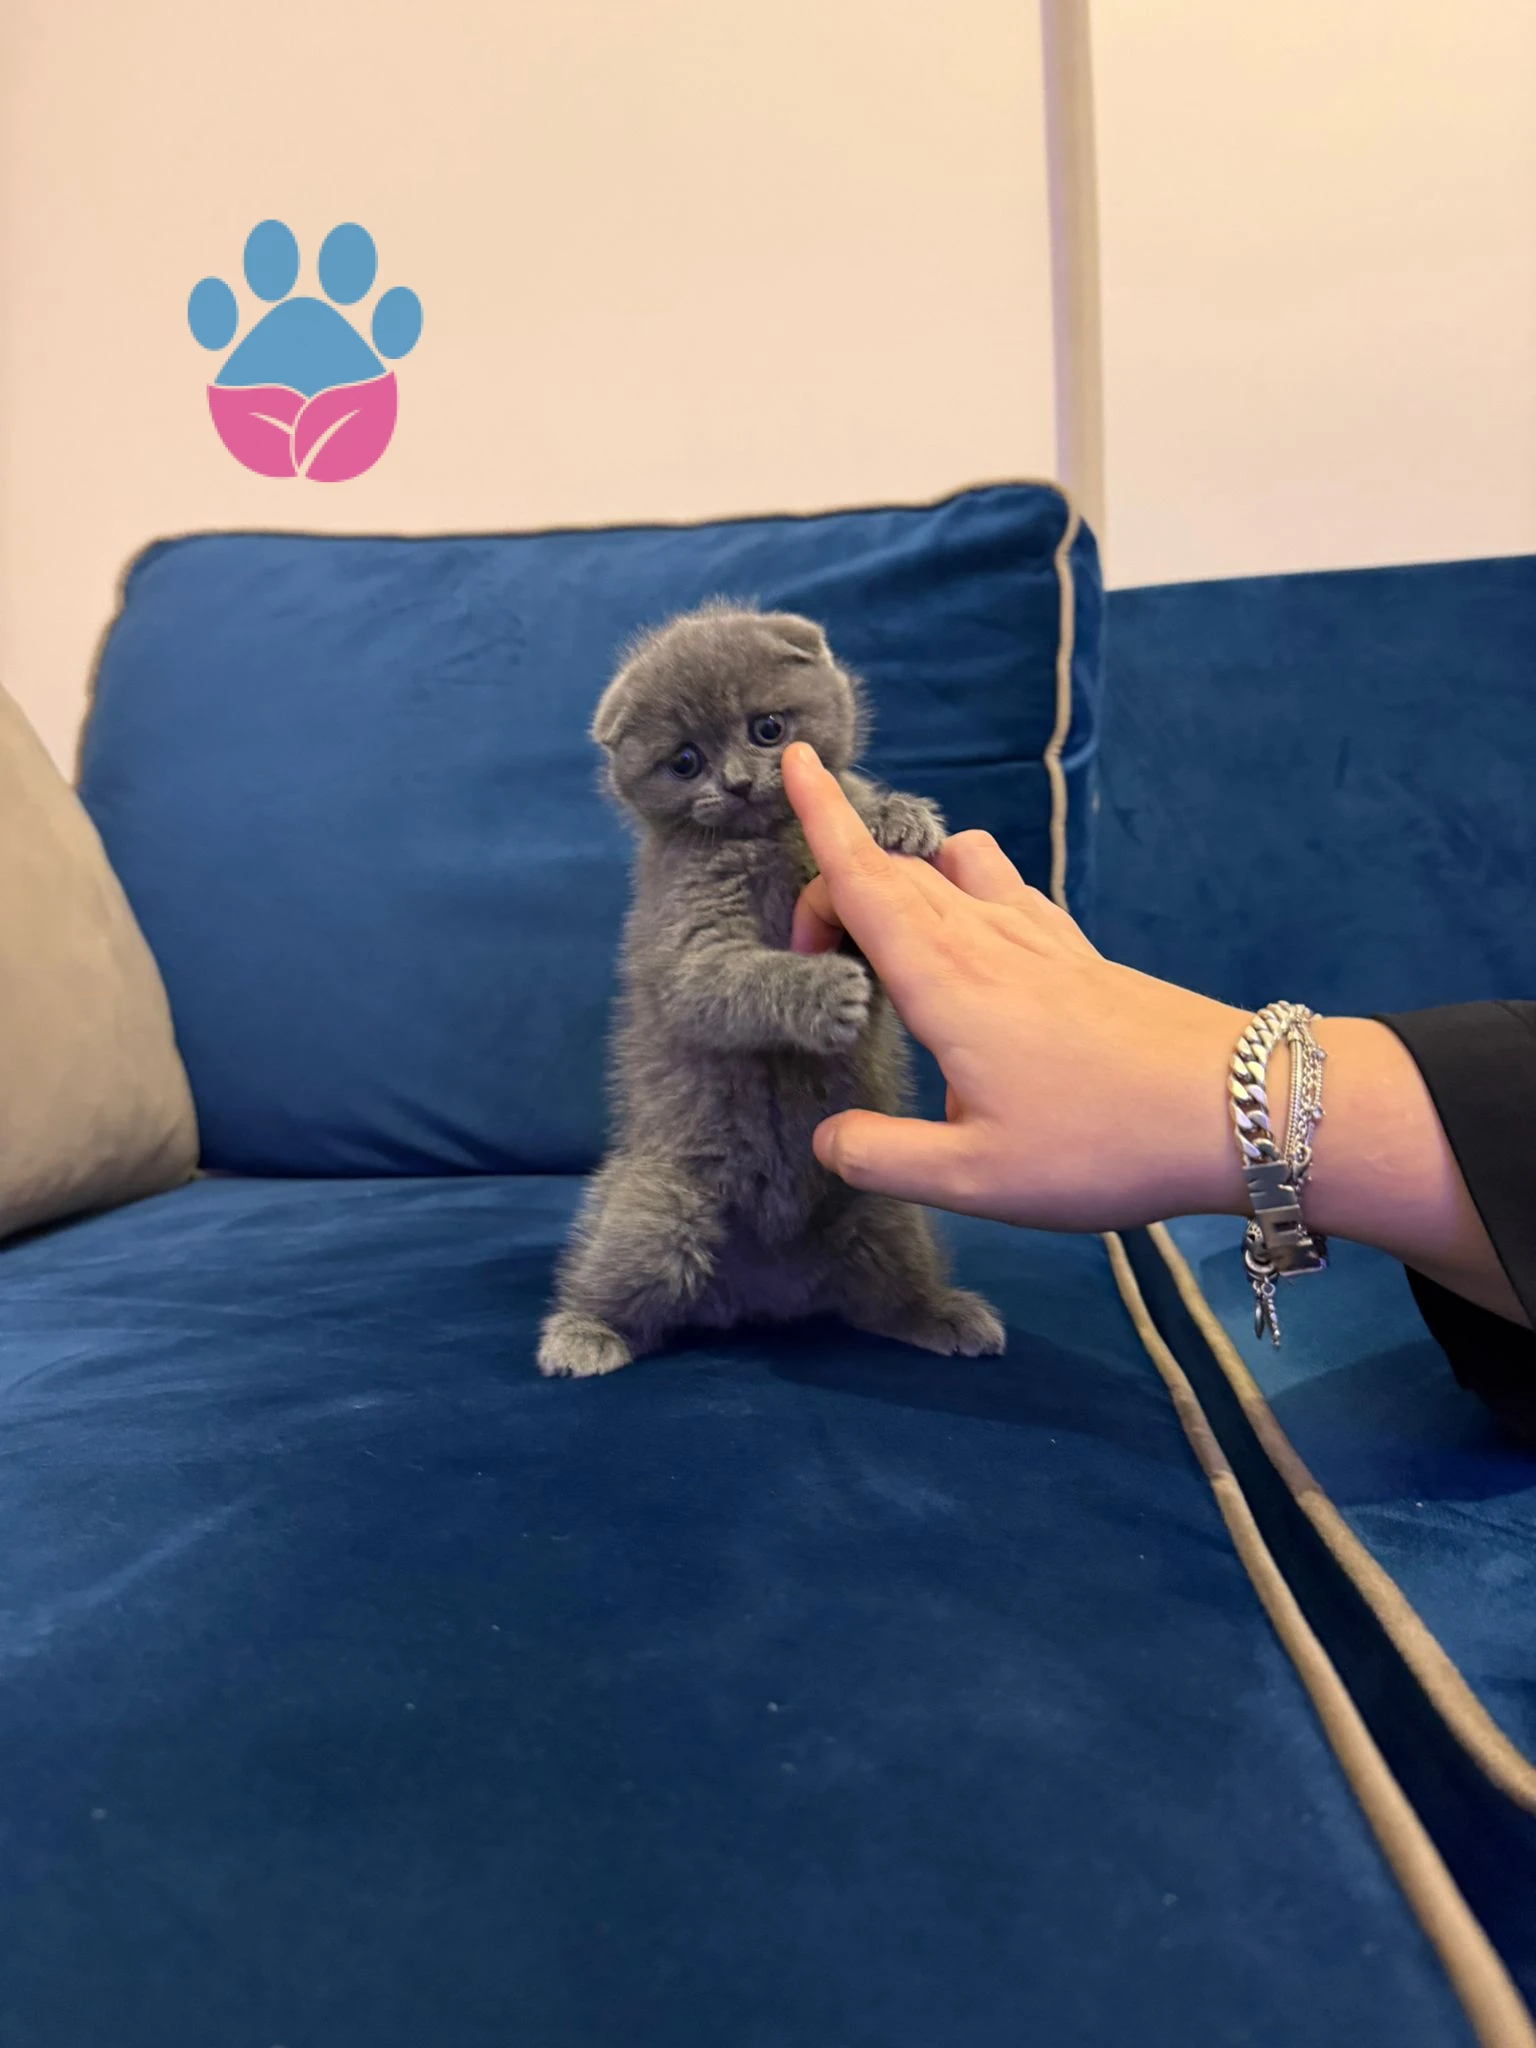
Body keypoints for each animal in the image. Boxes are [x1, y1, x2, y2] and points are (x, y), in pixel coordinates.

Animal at [536, 601, 1006, 1379]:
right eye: (685, 760)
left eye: (767, 729)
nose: (735, 782)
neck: (767, 836)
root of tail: (765, 1297)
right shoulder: (689, 937)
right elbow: (727, 981)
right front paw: (822, 993)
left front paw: (897, 818)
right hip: (661, 1210)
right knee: (609, 1283)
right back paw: (581, 1335)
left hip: (882, 1211)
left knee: (890, 1297)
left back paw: (945, 1314)